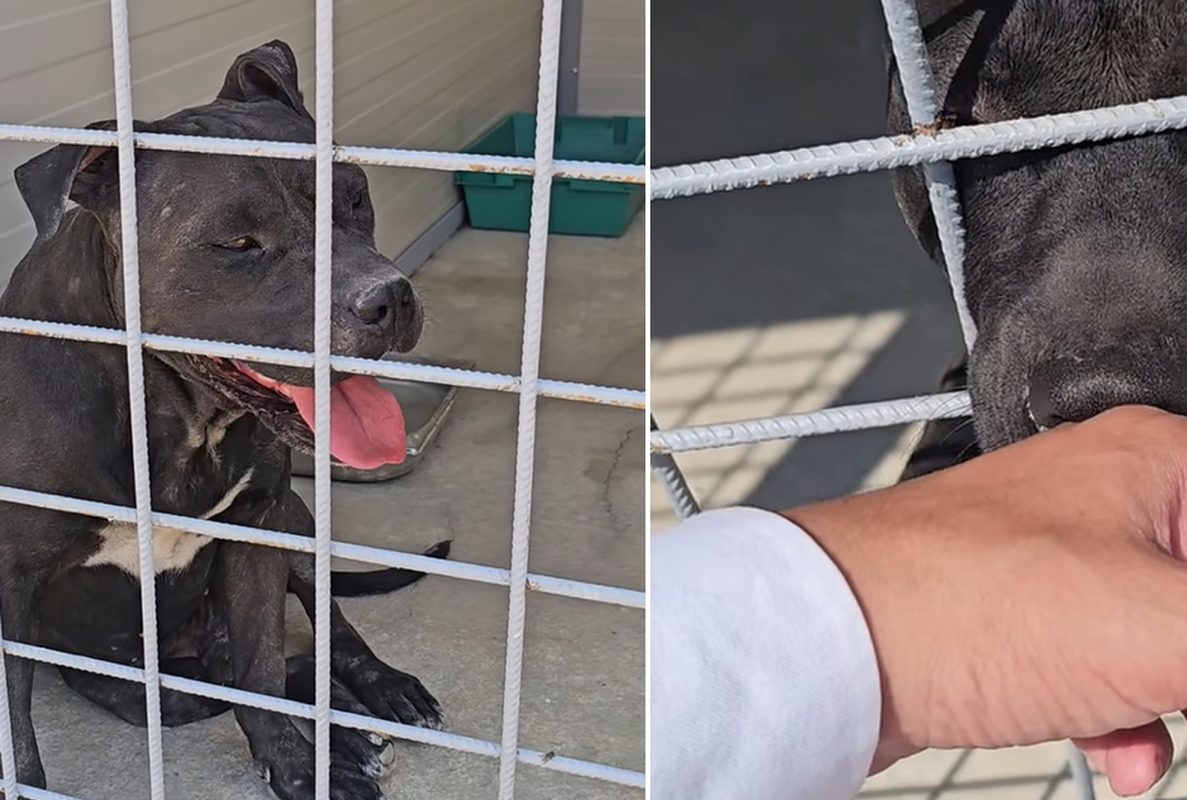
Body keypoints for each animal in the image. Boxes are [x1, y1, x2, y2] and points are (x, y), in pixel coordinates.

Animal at [0, 40, 453, 800]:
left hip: (296, 521)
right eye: (236, 243)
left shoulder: (258, 526)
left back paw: (374, 698)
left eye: (354, 196)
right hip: (140, 683)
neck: (177, 421)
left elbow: (263, 672)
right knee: (224, 685)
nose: (390, 299)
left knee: (308, 642)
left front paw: (299, 769)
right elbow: (20, 741)